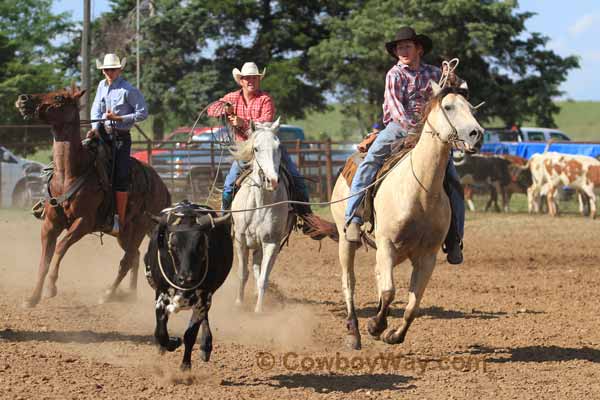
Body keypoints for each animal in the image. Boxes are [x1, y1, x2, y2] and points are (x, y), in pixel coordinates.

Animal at [15, 87, 170, 306]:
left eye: (59, 97)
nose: (23, 98)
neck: (70, 173)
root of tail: (163, 187)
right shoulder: (50, 224)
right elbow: (44, 260)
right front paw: (33, 298)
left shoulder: (83, 222)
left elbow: (60, 247)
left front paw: (51, 287)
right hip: (125, 232)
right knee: (135, 256)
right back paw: (130, 293)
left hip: (140, 227)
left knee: (127, 259)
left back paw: (108, 294)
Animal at [231, 118, 294, 312]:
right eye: (256, 148)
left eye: (279, 147)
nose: (272, 180)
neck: (260, 204)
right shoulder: (240, 239)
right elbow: (242, 274)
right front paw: (239, 303)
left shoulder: (271, 242)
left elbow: (263, 278)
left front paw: (258, 309)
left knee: (260, 269)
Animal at [326, 82, 486, 350]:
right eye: (448, 107)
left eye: (472, 108)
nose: (477, 134)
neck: (420, 191)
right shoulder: (387, 245)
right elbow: (390, 291)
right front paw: (375, 326)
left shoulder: (427, 255)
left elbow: (413, 305)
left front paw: (393, 335)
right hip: (346, 240)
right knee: (349, 282)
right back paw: (354, 333)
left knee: (378, 276)